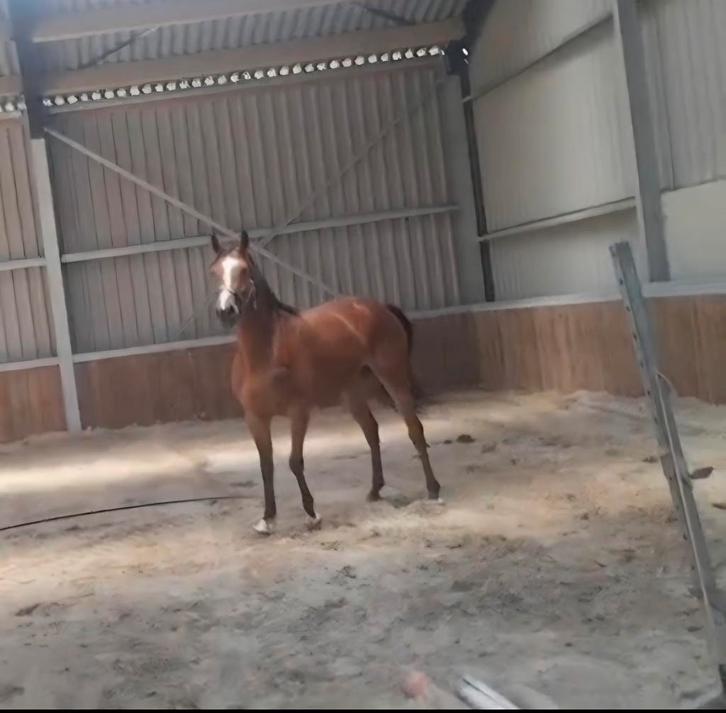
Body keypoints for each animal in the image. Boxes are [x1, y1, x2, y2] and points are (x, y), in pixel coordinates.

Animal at [210, 230, 442, 534]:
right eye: (214, 272)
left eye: (244, 270)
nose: (225, 311)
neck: (266, 353)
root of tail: (378, 307)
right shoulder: (255, 418)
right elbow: (266, 465)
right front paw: (267, 518)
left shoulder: (299, 412)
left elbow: (294, 461)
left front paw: (311, 513)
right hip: (352, 393)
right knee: (372, 432)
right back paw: (375, 490)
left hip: (394, 379)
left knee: (414, 429)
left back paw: (433, 490)